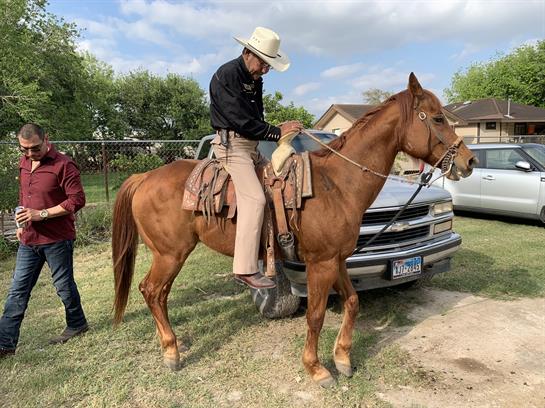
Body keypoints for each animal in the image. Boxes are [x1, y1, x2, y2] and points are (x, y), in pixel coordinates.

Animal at [112, 73, 476, 387]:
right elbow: (315, 315)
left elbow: (353, 301)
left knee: (158, 294)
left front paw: (343, 358)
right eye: (436, 118)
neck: (337, 184)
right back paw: (171, 351)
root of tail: (144, 177)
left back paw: (169, 344)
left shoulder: (337, 259)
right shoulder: (319, 263)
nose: (469, 161)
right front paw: (316, 368)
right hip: (170, 254)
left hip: (169, 255)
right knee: (151, 290)